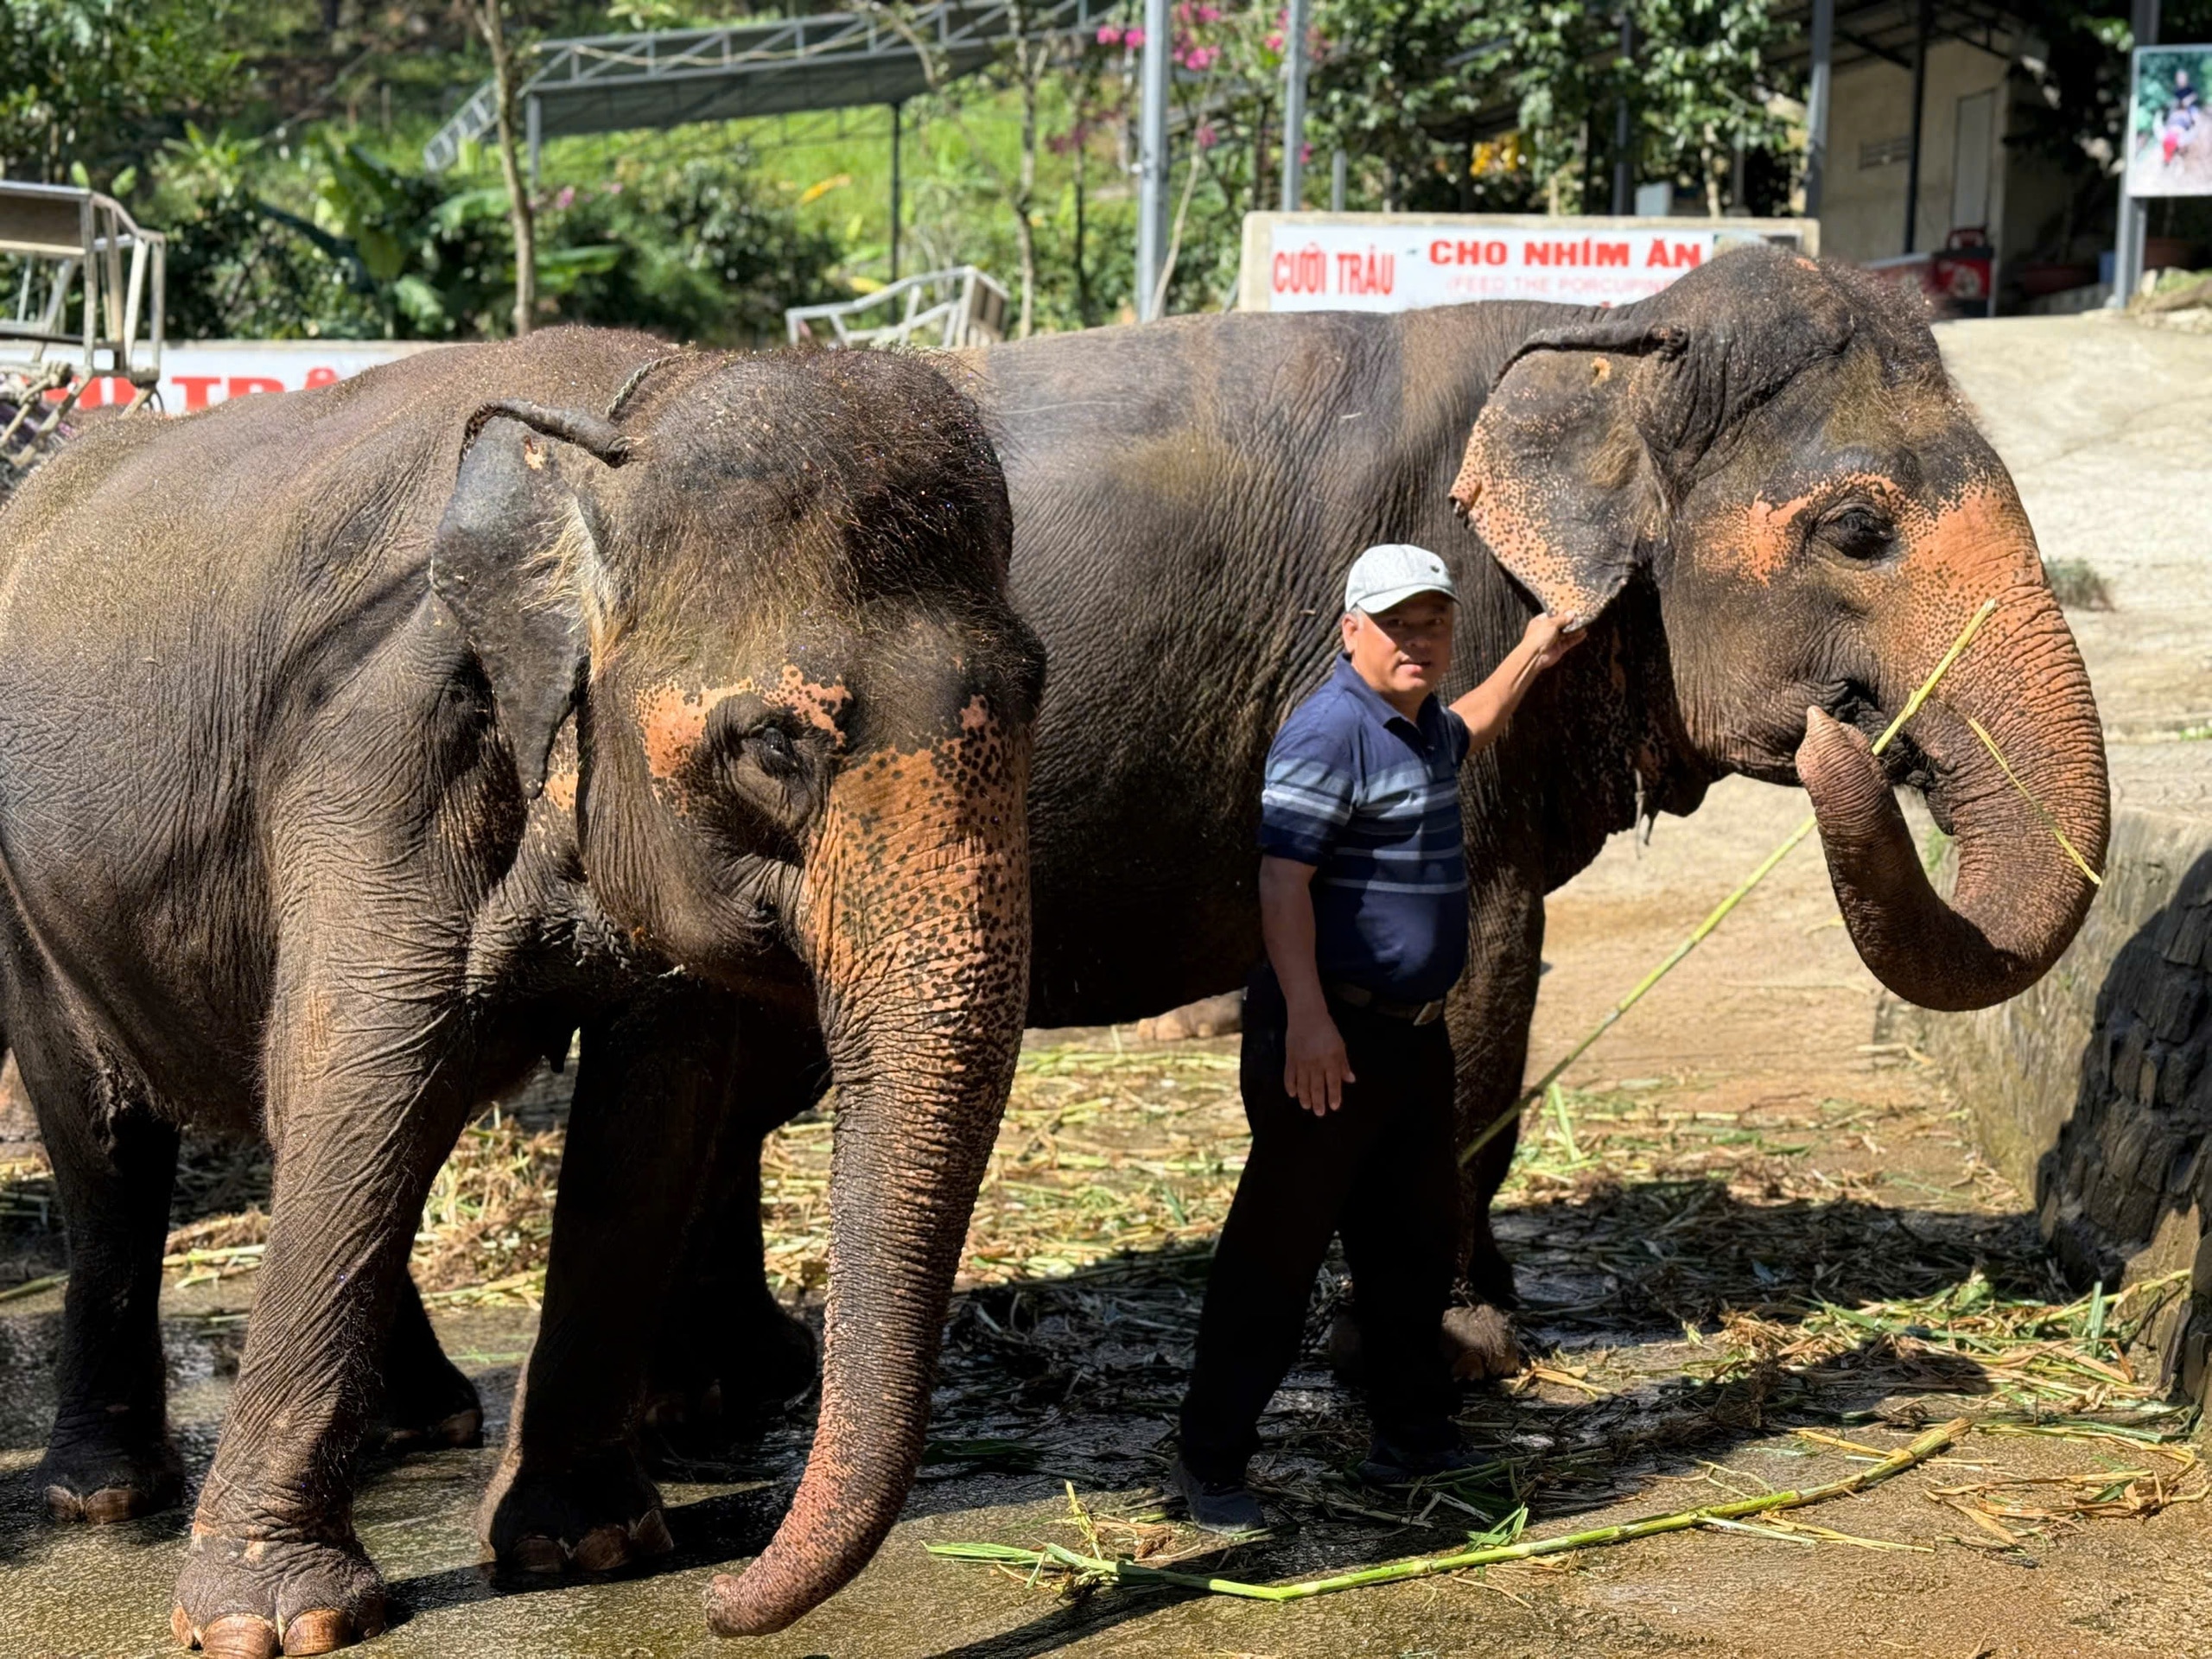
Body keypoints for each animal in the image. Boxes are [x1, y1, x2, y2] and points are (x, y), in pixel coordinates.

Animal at [0, 332, 1039, 1654]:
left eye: (1038, 693)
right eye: (773, 746)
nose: (722, 1601)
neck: (620, 422)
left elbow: (653, 1115)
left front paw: (588, 1548)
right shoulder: (373, 748)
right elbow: (362, 1075)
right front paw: (274, 1624)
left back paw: (426, 1423)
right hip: (29, 905)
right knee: (109, 1144)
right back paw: (102, 1495)